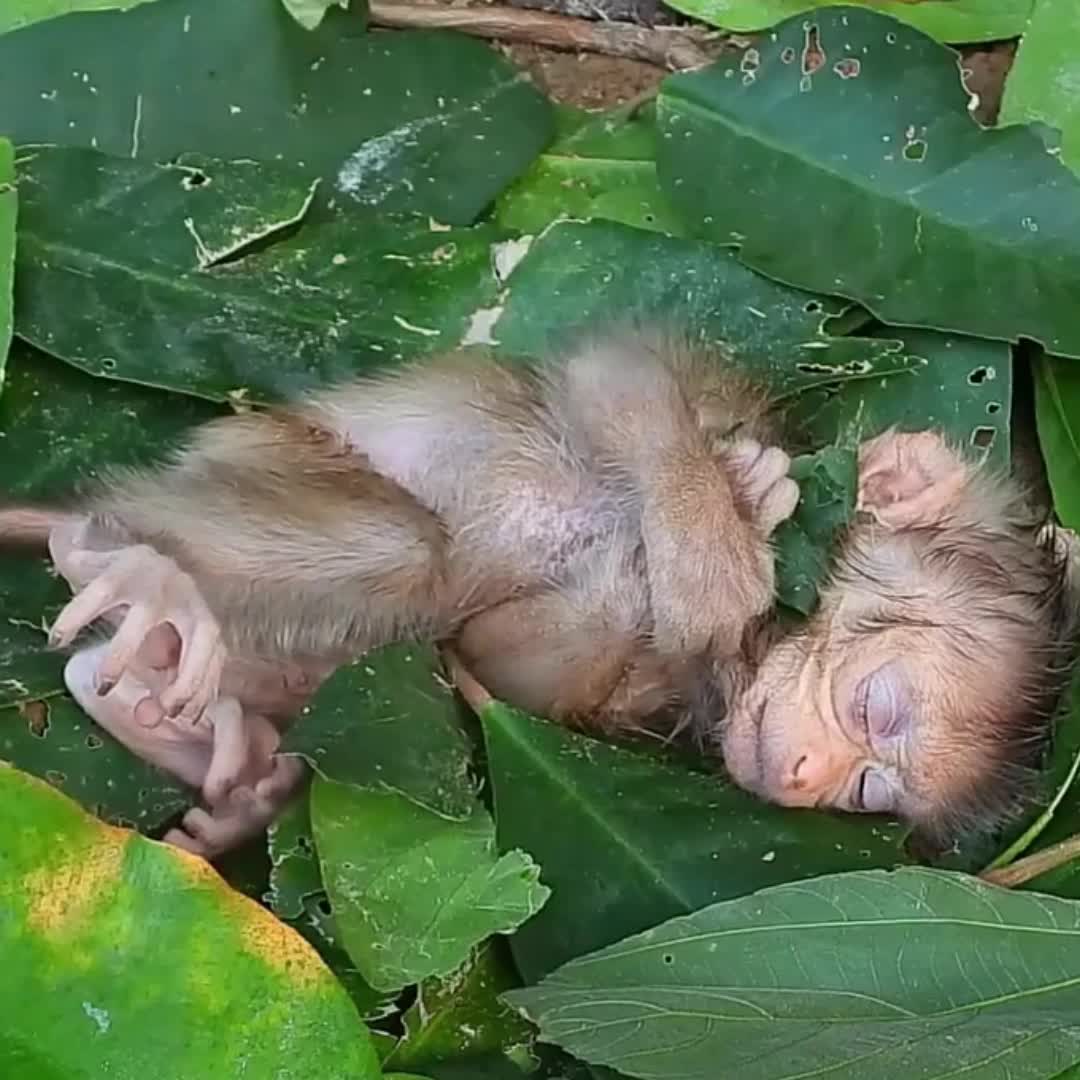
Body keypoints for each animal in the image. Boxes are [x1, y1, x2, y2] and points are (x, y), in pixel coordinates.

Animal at [2, 333, 1075, 861]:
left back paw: (197, 742)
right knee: (402, 552)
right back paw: (135, 567)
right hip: (260, 455)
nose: (810, 782)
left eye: (869, 795)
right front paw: (728, 525)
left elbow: (503, 662)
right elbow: (620, 381)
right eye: (873, 709)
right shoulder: (715, 399)